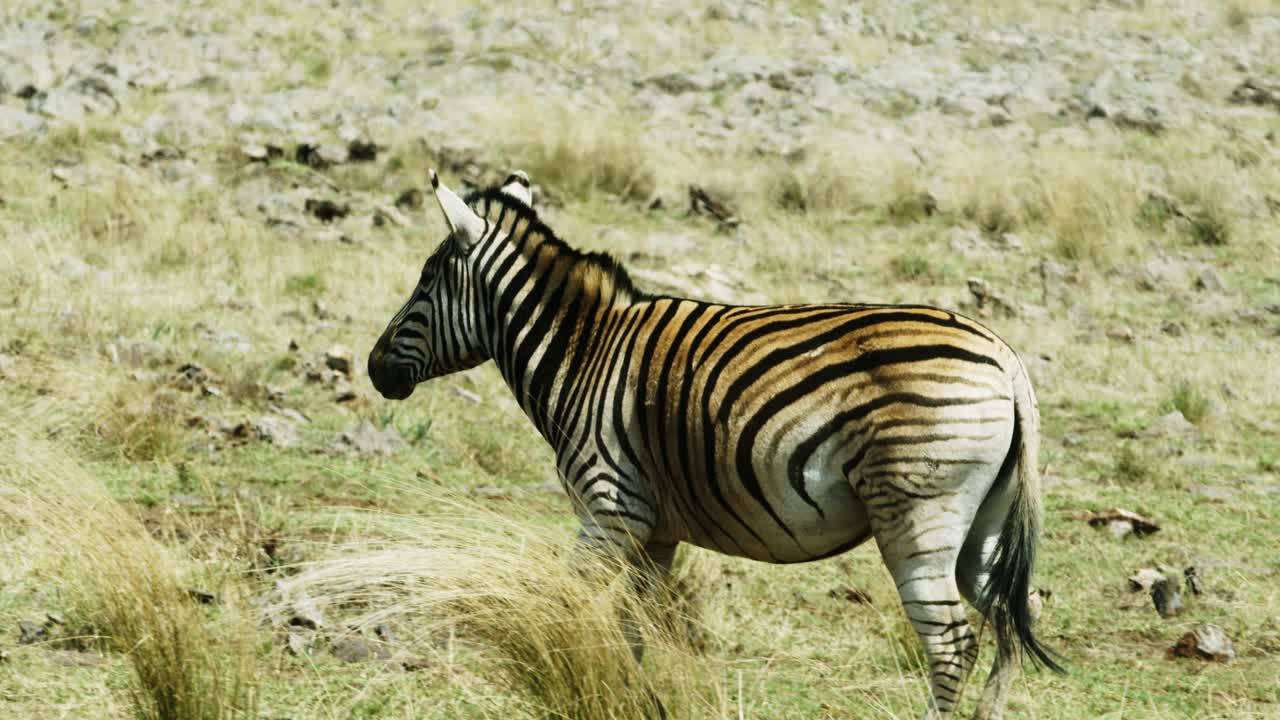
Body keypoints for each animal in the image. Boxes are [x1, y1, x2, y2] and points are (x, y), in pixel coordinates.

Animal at [367, 170, 1063, 719]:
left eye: (425, 282)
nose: (375, 369)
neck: (582, 351)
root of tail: (1006, 360)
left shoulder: (609, 507)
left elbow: (569, 606)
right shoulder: (655, 530)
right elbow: (636, 629)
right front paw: (637, 701)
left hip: (918, 514)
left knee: (951, 644)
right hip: (984, 526)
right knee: (1009, 617)